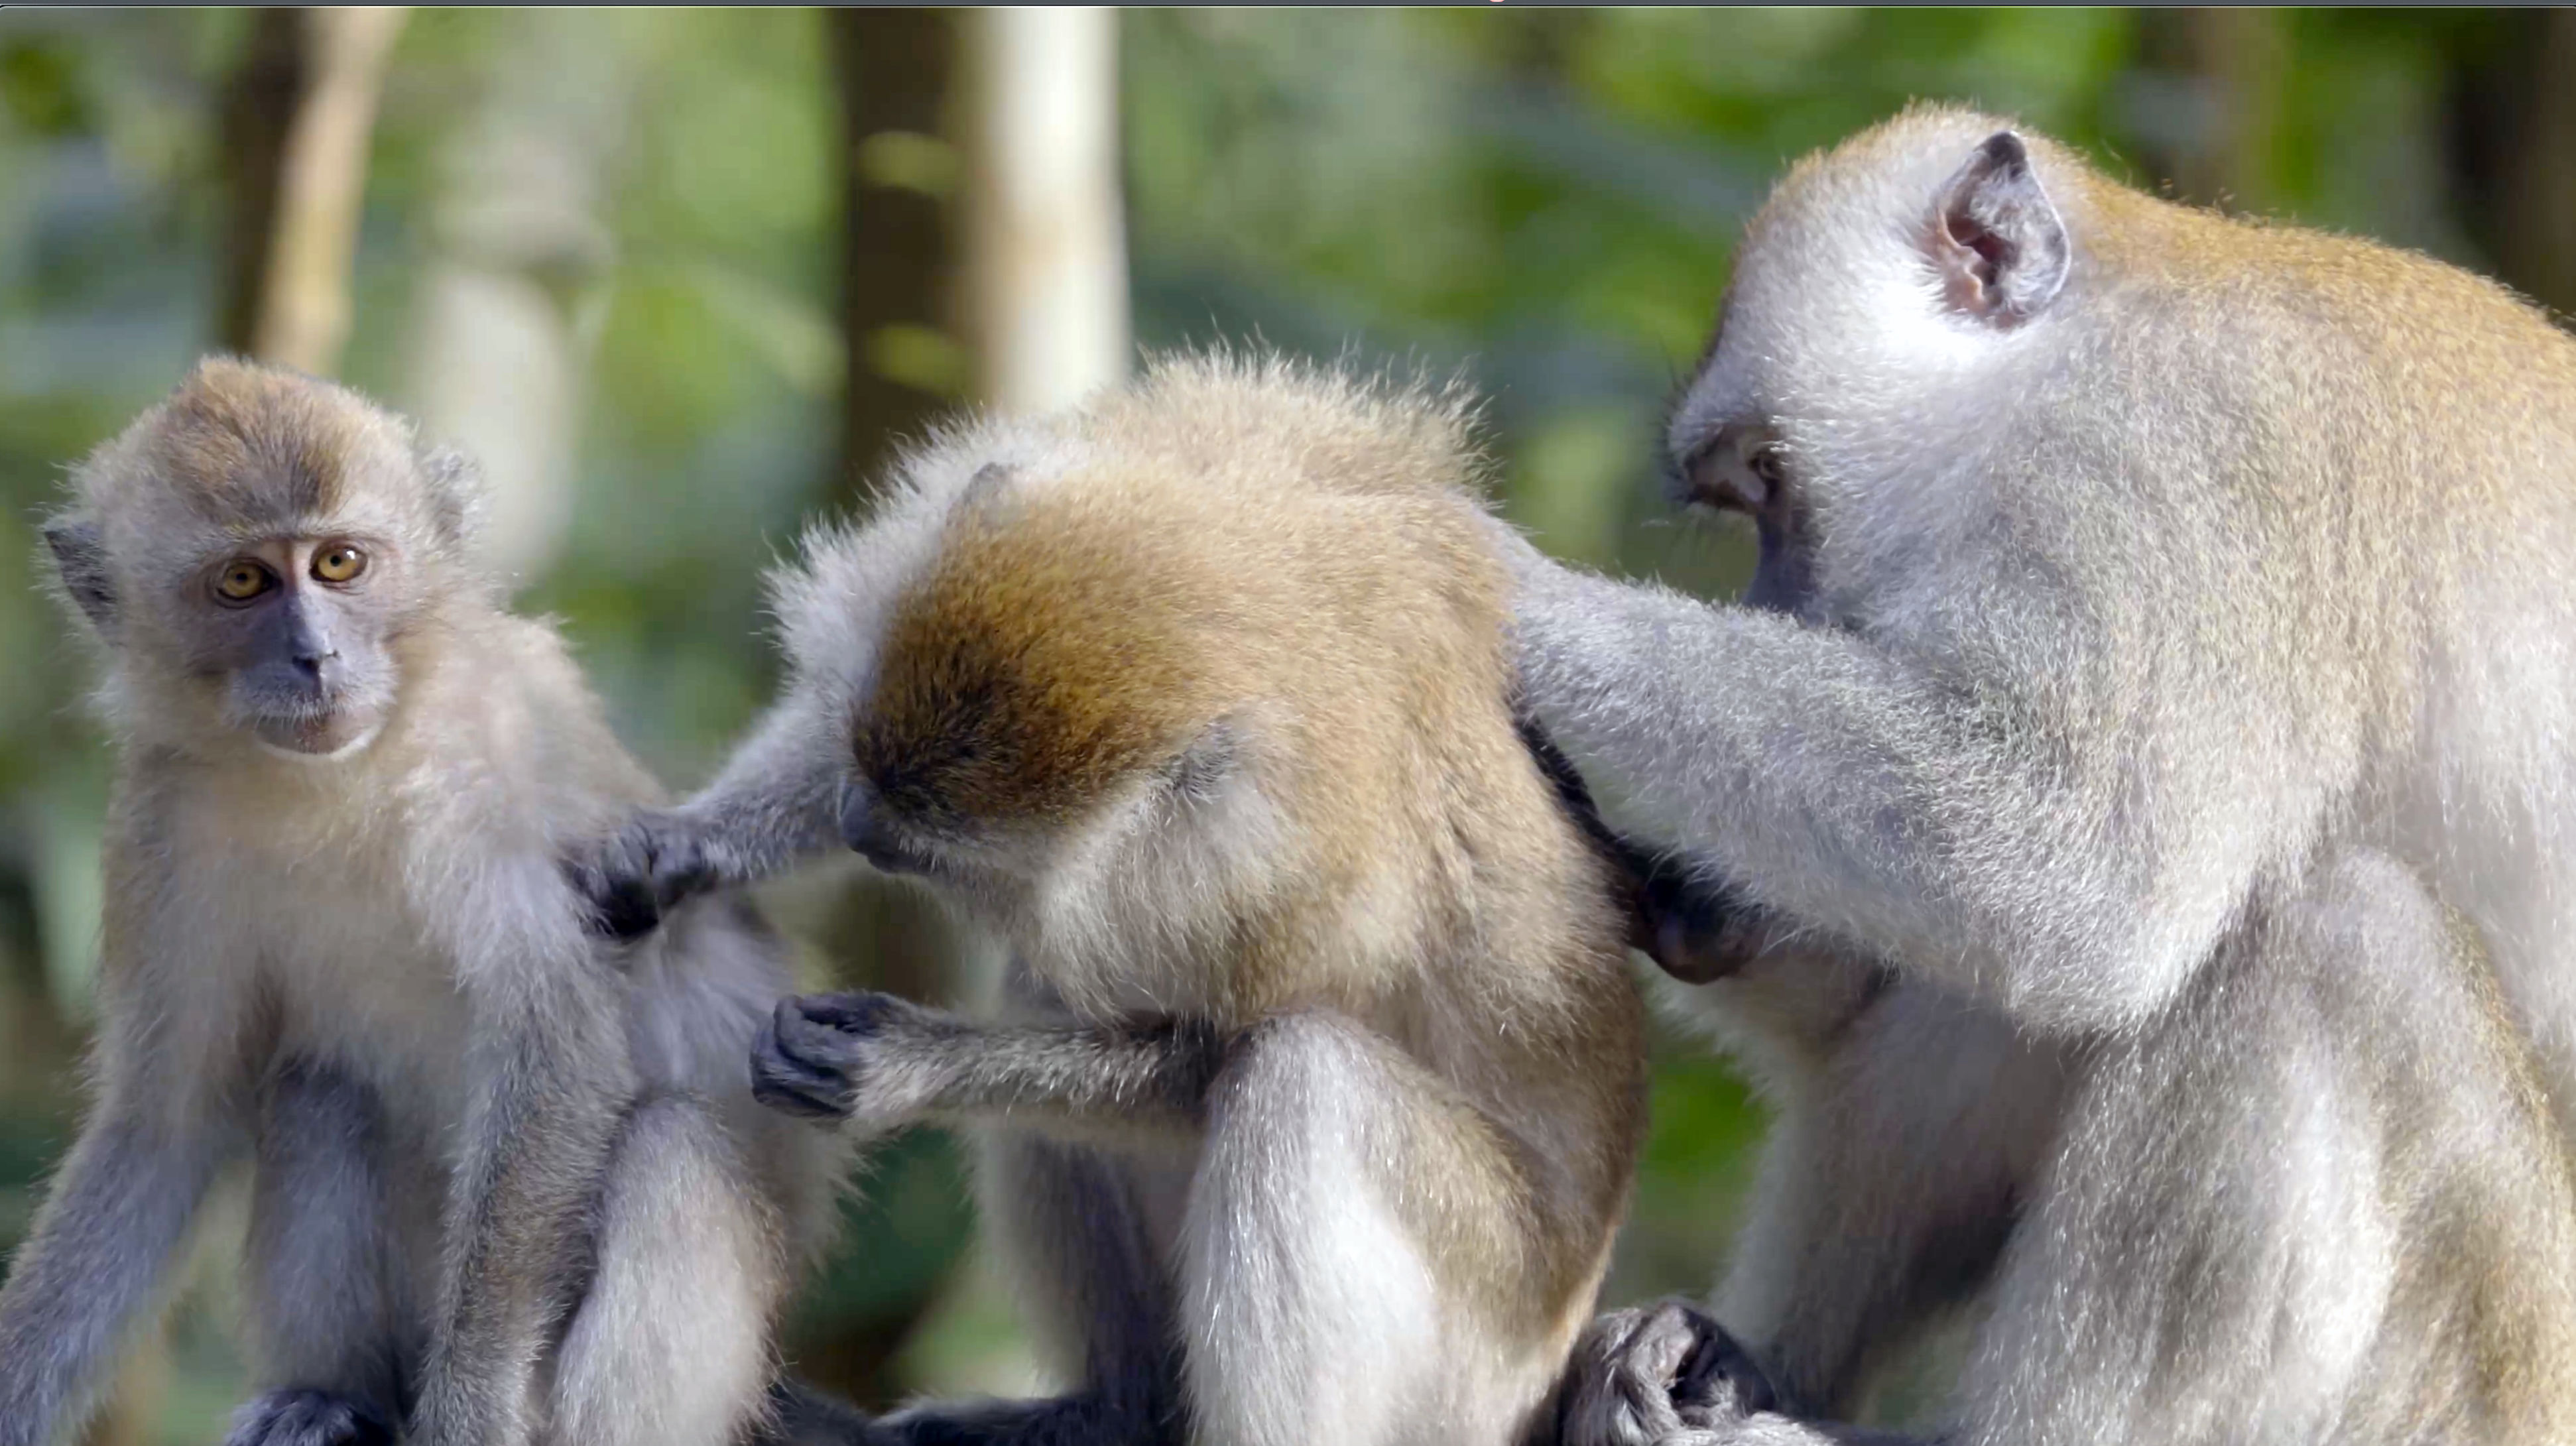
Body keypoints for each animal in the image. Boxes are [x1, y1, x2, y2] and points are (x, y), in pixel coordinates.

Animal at [2, 358, 834, 1443]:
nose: (315, 657)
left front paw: (469, 1413)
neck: (336, 777)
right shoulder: (158, 822)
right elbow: (164, 1130)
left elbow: (555, 1044)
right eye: (243, 582)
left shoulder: (475, 764)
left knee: (669, 1150)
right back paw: (330, 1398)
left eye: (341, 563)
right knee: (319, 1091)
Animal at [574, 355, 1638, 1443]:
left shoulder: (1293, 873)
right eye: (868, 791)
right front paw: (689, 843)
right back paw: (1118, 1407)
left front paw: (904, 1066)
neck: (1257, 631)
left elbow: (1210, 1064)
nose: (853, 817)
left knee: (1300, 1079)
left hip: (1481, 1345)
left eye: (929, 852)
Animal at [1504, 107, 2576, 1433]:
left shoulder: (2187, 472)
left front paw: (1484, 584)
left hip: (2491, 1361)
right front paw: (1677, 893)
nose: (1766, 605)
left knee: (2338, 941)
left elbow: (2085, 879)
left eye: (1766, 481)